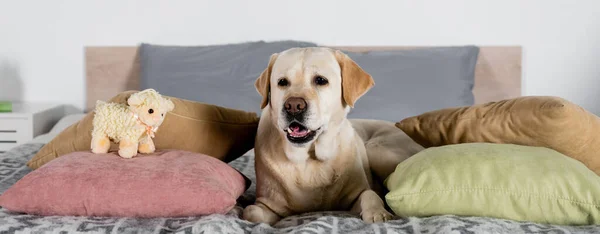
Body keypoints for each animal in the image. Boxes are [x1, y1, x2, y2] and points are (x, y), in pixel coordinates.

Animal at [241, 46, 424, 224]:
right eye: (282, 82)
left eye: (321, 80)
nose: (293, 106)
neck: (310, 157)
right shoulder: (267, 203)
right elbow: (250, 212)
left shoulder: (356, 194)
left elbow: (370, 194)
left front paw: (378, 213)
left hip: (377, 150)